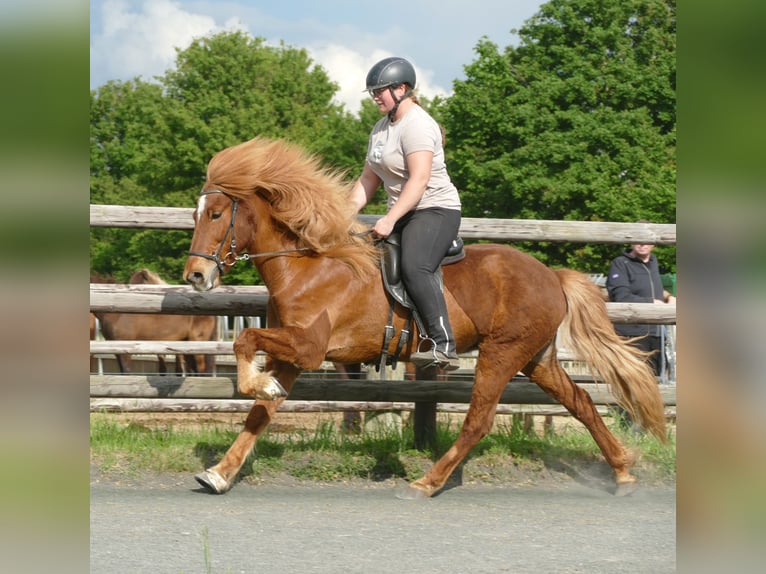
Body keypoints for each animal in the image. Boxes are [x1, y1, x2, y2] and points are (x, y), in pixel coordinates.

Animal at [183, 138, 668, 500]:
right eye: (196, 214)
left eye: (216, 214)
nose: (196, 275)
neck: (309, 264)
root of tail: (552, 275)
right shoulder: (294, 355)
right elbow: (260, 413)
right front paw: (220, 472)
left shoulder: (308, 346)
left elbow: (244, 344)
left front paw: (256, 383)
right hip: (538, 358)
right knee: (582, 403)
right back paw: (623, 473)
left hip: (501, 354)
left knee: (478, 422)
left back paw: (427, 482)